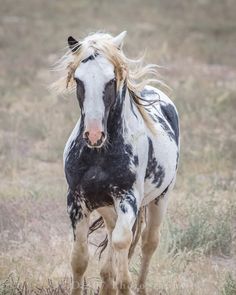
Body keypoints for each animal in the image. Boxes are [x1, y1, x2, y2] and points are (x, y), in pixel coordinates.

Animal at [53, 31, 179, 295]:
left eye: (111, 80)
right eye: (78, 80)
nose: (93, 135)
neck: (99, 155)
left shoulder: (127, 199)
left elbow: (123, 242)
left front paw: (124, 285)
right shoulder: (76, 201)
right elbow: (79, 258)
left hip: (161, 198)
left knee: (148, 242)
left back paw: (139, 288)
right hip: (107, 208)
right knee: (112, 238)